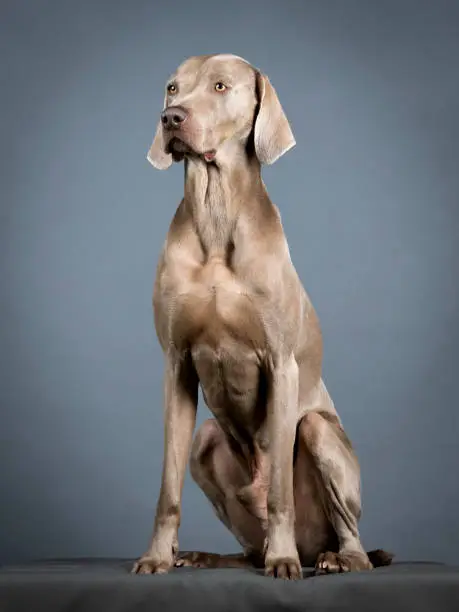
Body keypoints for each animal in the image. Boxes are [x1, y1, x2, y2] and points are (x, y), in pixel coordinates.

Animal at [132, 52, 392, 580]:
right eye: (172, 88)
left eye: (220, 86)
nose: (171, 118)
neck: (215, 213)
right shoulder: (176, 364)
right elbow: (168, 489)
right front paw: (157, 557)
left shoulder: (280, 362)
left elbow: (279, 495)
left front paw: (283, 561)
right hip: (205, 440)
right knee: (246, 539)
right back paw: (208, 556)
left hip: (319, 433)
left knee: (344, 527)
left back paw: (337, 558)